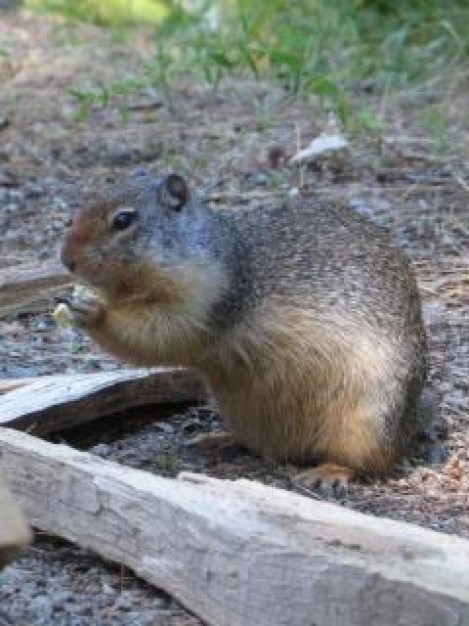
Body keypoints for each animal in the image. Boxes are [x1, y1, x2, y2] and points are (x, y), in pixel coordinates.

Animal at [60, 172, 426, 492]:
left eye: (123, 220)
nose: (66, 260)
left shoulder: (204, 299)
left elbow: (159, 334)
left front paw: (92, 312)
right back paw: (216, 440)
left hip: (367, 420)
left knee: (366, 461)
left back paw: (326, 473)